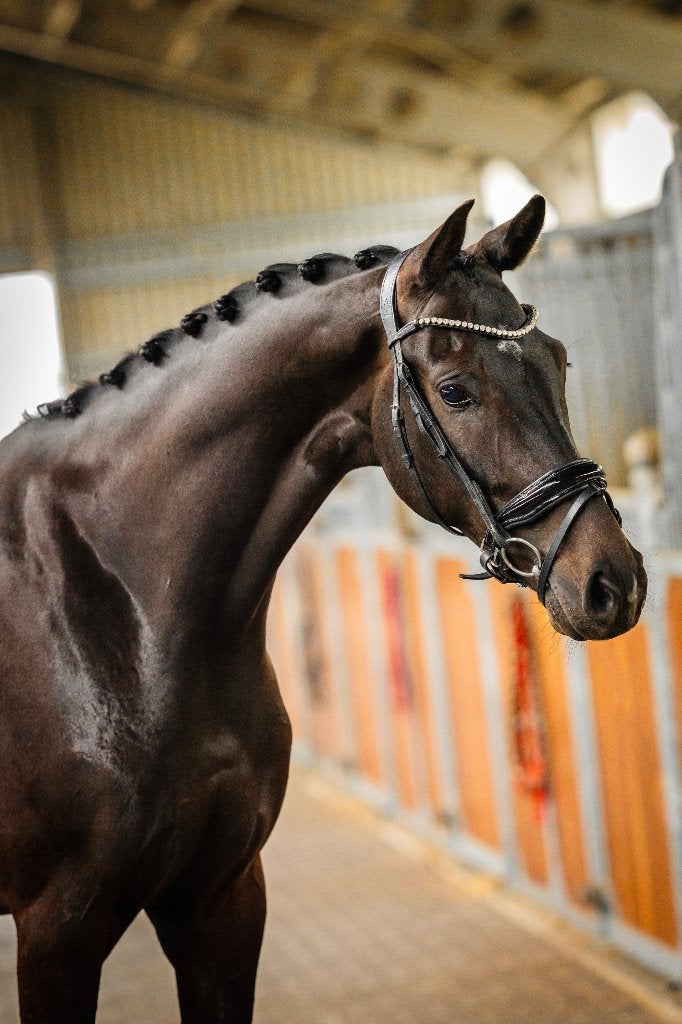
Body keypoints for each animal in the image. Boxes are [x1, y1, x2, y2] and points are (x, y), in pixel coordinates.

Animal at [0, 195, 646, 1023]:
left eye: (558, 361)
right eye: (457, 390)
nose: (614, 583)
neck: (125, 606)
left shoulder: (222, 899)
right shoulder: (58, 934)